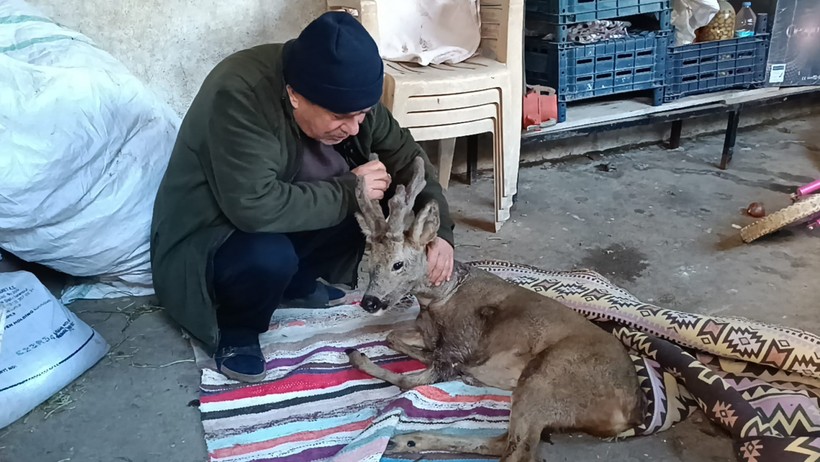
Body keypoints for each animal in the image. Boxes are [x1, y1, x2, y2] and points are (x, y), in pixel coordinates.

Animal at [346, 156, 648, 462]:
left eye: (398, 264)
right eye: (370, 262)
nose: (370, 301)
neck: (441, 297)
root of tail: (628, 414)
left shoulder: (460, 344)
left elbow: (412, 377)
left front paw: (361, 356)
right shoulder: (427, 331)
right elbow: (392, 337)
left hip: (547, 377)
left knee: (517, 450)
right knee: (503, 442)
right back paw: (408, 440)